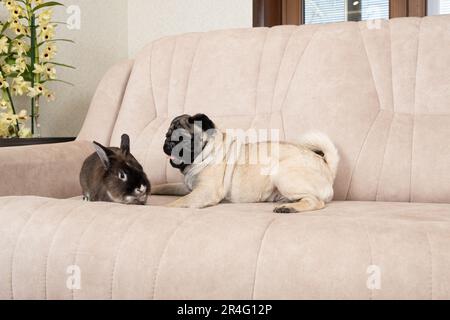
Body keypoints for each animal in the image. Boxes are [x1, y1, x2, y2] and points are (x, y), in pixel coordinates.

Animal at [151, 114, 338, 214]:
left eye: (181, 138)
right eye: (167, 135)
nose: (168, 144)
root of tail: (327, 166)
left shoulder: (204, 192)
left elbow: (176, 203)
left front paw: (162, 208)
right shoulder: (186, 187)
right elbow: (165, 186)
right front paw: (152, 188)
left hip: (283, 175)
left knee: (316, 202)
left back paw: (289, 208)